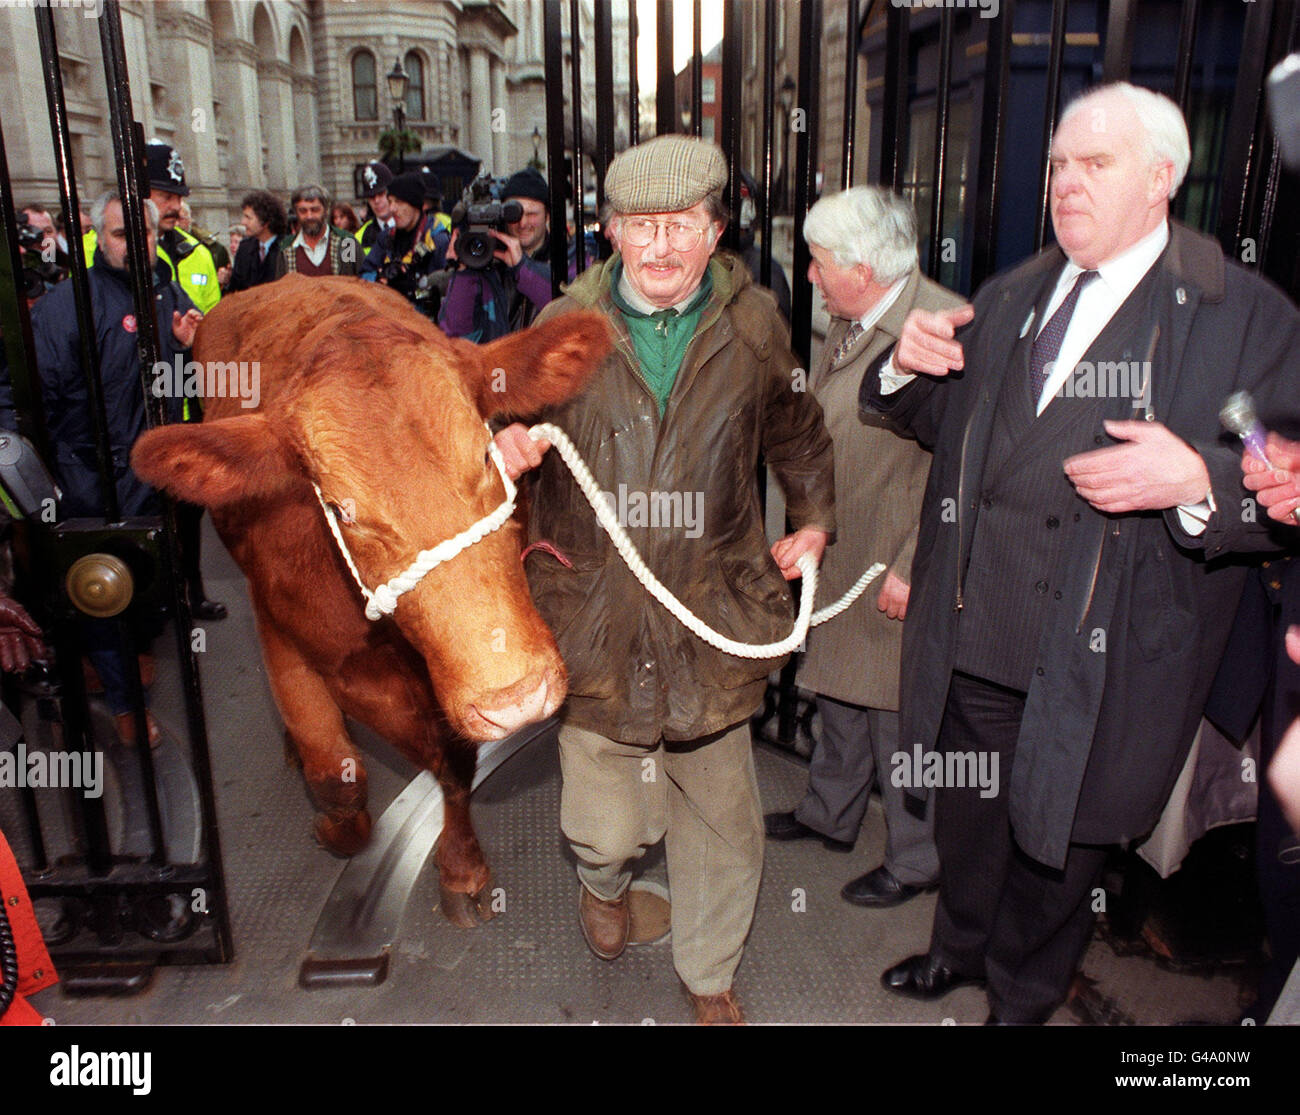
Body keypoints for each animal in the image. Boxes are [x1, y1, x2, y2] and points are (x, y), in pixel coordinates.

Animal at [131, 275, 608, 920]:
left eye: (487, 454)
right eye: (339, 509)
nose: (516, 698)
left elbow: (452, 765)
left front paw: (462, 869)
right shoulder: (281, 635)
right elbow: (337, 776)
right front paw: (336, 828)